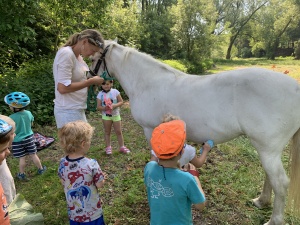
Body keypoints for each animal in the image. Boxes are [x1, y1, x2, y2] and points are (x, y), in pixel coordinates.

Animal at [90, 40, 300, 225]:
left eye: (93, 58)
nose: (91, 77)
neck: (147, 82)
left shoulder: (150, 130)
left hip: (268, 150)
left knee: (280, 182)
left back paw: (274, 220)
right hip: (266, 150)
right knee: (270, 177)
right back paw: (261, 201)